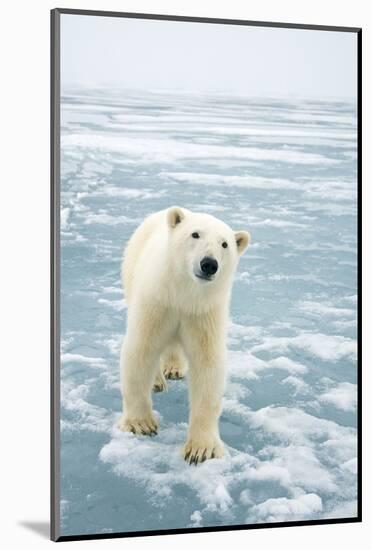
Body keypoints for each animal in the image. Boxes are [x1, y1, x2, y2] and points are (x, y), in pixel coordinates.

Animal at [118, 207, 250, 466]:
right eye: (195, 234)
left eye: (225, 244)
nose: (209, 264)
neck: (183, 295)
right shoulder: (157, 301)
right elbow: (141, 349)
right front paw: (141, 424)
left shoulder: (203, 312)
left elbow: (208, 365)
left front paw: (201, 449)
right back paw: (157, 380)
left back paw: (174, 368)